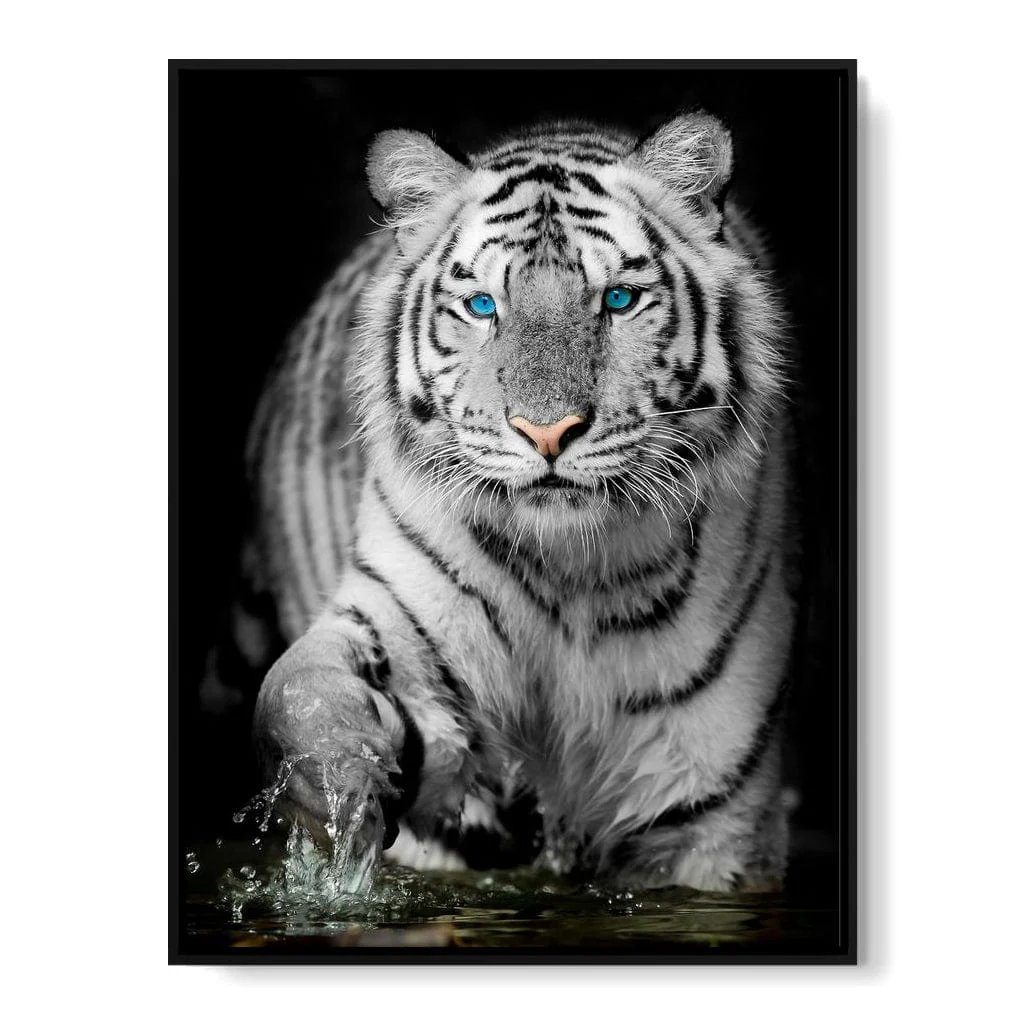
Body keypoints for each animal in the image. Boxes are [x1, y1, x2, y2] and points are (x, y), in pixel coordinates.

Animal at [244, 109, 797, 892]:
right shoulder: (398, 616)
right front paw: (340, 784)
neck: (571, 573)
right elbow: (299, 690)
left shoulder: (713, 812)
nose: (547, 432)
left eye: (618, 299)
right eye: (483, 307)